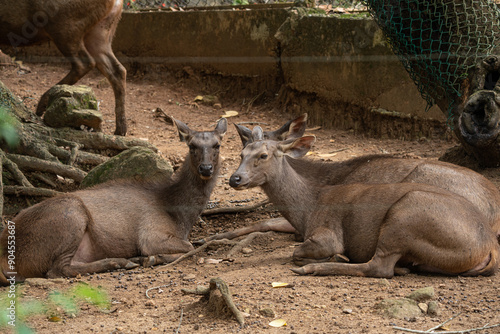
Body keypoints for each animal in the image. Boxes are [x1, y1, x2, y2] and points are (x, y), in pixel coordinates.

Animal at [0, 0, 129, 136]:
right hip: (101, 31)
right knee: (118, 70)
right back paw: (120, 130)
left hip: (65, 26)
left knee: (84, 63)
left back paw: (44, 104)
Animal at [0, 117, 227, 284]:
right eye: (191, 146)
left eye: (217, 145)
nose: (206, 168)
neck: (181, 215)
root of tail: (4, 253)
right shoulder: (151, 233)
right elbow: (189, 247)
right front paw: (152, 258)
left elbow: (193, 244)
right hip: (71, 214)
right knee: (57, 270)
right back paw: (121, 262)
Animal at [229, 126, 498, 278]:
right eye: (241, 154)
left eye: (263, 155)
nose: (235, 178)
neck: (307, 209)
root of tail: (490, 246)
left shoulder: (326, 234)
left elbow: (298, 251)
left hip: (405, 215)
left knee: (379, 268)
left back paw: (316, 268)